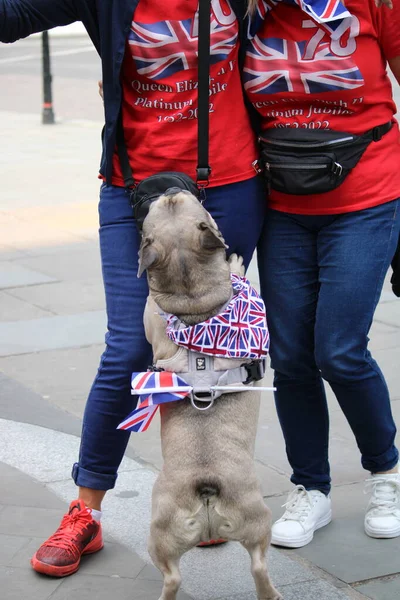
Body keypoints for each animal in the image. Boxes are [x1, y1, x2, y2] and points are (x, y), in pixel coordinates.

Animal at [139, 189, 282, 600]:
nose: (170, 190)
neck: (196, 306)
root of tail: (206, 486)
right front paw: (234, 264)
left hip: (172, 531)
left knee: (180, 574)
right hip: (250, 521)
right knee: (256, 565)